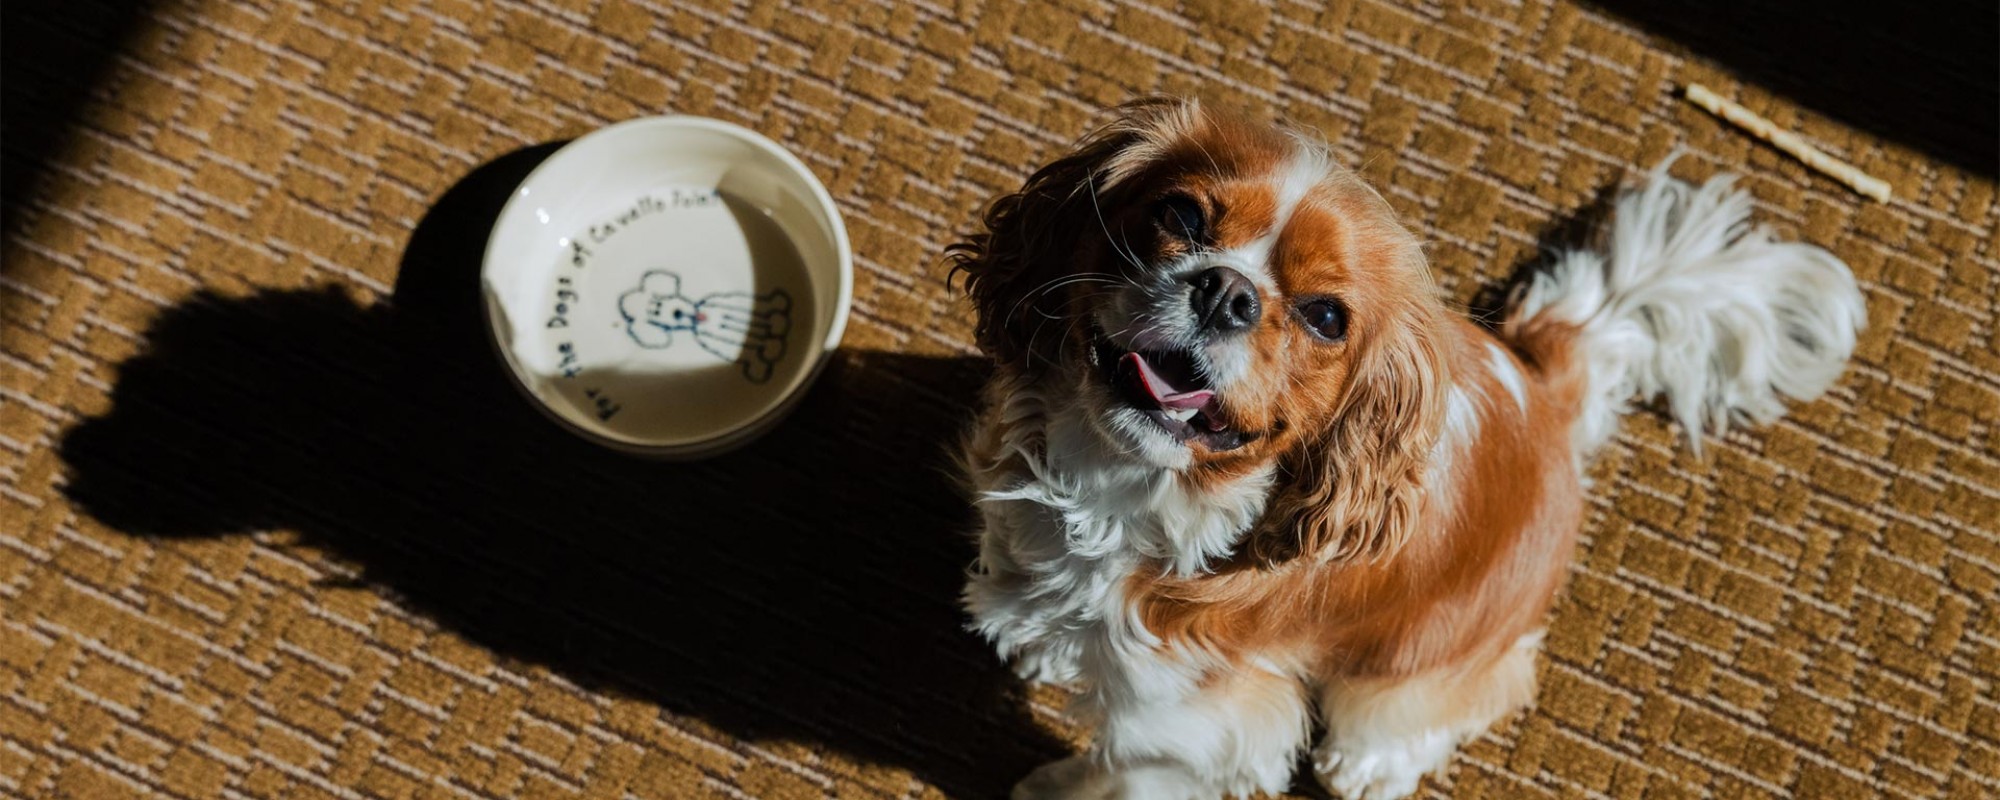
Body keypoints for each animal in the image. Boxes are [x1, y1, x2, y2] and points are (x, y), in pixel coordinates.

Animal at [944, 101, 1864, 800]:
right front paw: (1040, 636)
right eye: (1181, 215)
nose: (1228, 291)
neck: (1127, 487)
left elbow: (1123, 771)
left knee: (1458, 693)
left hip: (1433, 649)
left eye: (1324, 316)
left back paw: (1371, 761)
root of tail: (1548, 383)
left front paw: (1054, 787)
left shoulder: (1201, 722)